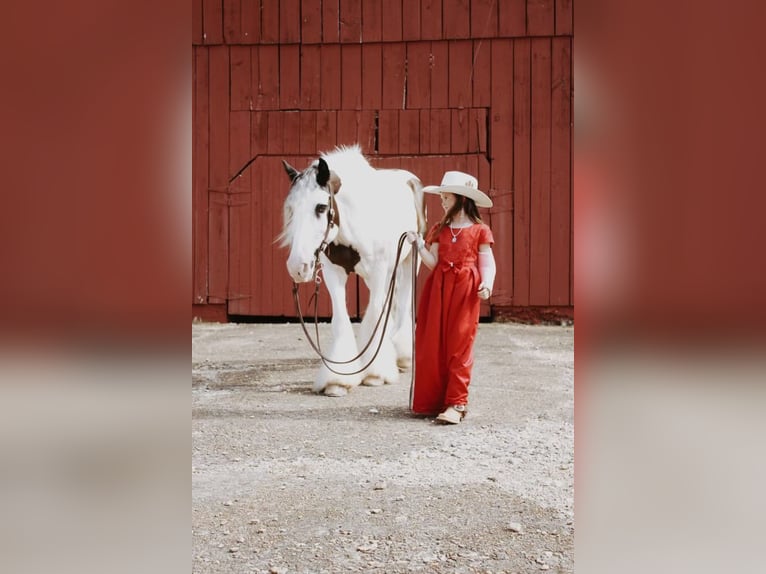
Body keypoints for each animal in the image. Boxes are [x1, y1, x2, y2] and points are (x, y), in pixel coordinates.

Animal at [280, 145, 428, 396]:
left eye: (321, 207)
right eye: (291, 209)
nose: (297, 267)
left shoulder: (379, 271)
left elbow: (376, 313)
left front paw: (376, 374)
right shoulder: (333, 274)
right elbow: (342, 319)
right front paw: (337, 381)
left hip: (409, 261)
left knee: (403, 301)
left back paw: (403, 356)